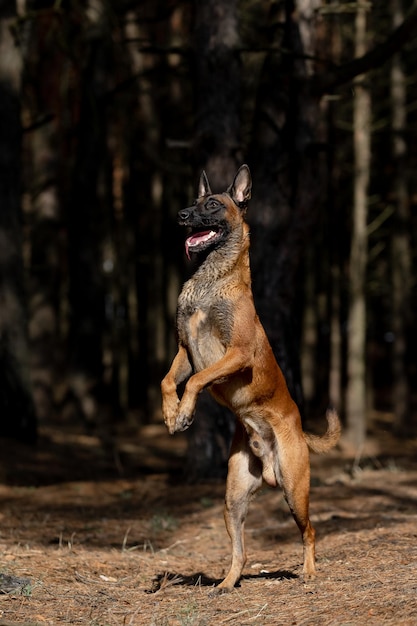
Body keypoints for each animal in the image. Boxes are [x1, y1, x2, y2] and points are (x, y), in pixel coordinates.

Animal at [161, 163, 340, 592]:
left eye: (211, 205)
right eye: (194, 201)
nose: (181, 214)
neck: (211, 278)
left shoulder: (236, 354)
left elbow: (196, 382)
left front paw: (185, 413)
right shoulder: (184, 351)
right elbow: (168, 381)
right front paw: (172, 414)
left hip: (295, 487)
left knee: (310, 532)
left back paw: (310, 573)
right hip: (234, 498)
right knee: (240, 551)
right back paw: (226, 583)